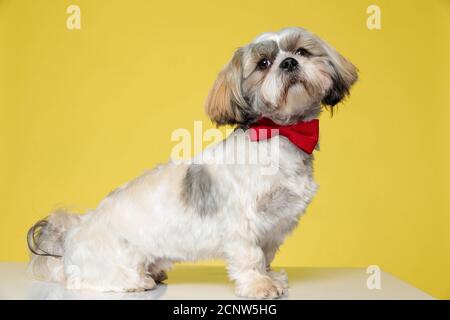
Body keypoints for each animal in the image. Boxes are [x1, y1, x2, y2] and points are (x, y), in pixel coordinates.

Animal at [29, 26, 358, 298]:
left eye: (301, 51)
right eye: (263, 64)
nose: (289, 63)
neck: (278, 136)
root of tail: (73, 232)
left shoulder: (275, 225)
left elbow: (265, 255)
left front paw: (269, 277)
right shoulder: (243, 224)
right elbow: (250, 256)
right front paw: (259, 286)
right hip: (114, 262)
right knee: (87, 281)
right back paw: (137, 281)